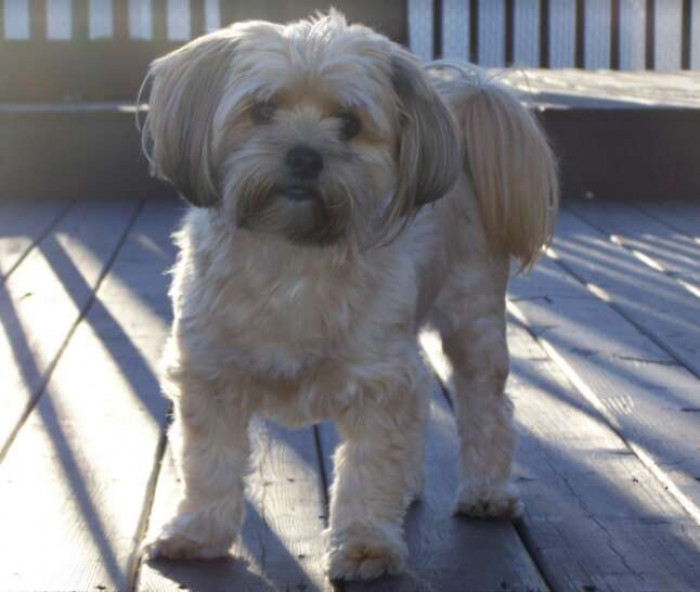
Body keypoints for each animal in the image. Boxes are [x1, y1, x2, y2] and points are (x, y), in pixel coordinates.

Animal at [141, 10, 556, 584]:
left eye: (349, 122)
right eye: (262, 109)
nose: (304, 155)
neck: (293, 256)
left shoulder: (378, 380)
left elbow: (367, 467)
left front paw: (364, 546)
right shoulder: (209, 376)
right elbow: (209, 463)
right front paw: (196, 533)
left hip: (472, 320)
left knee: (485, 407)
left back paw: (486, 492)